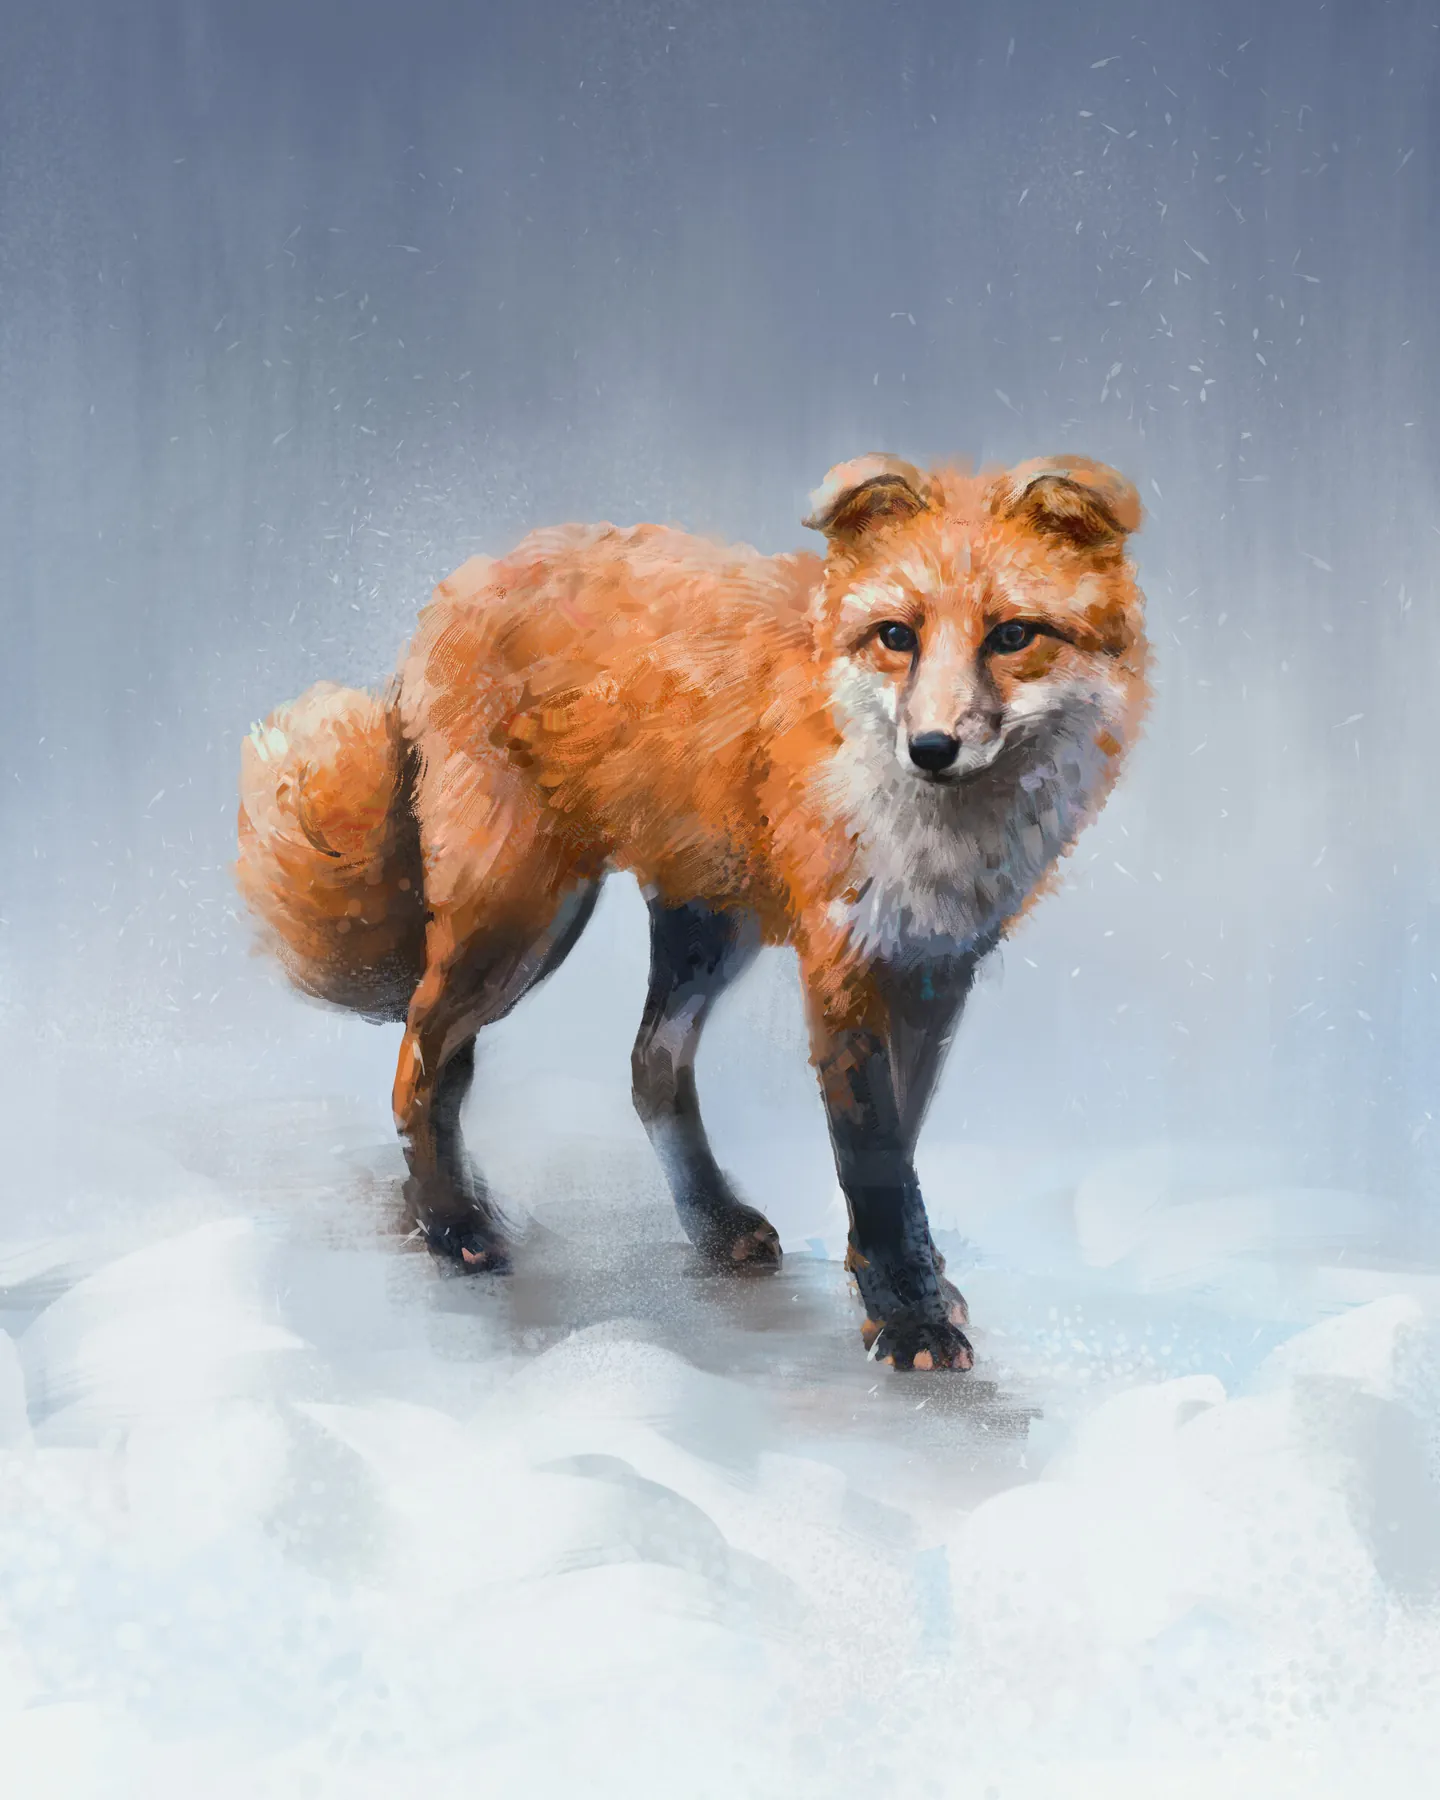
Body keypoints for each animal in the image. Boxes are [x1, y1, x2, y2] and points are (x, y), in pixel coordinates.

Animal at [236, 452, 1149, 1371]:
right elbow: (876, 1165)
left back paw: (701, 1221)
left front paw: (908, 1284)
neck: (933, 837)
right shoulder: (842, 964)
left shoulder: (934, 969)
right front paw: (906, 1317)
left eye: (1012, 636)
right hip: (523, 921)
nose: (931, 749)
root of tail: (458, 586)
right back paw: (450, 1222)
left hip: (702, 929)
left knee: (647, 1067)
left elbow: (906, 1142)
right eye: (898, 636)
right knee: (423, 1057)